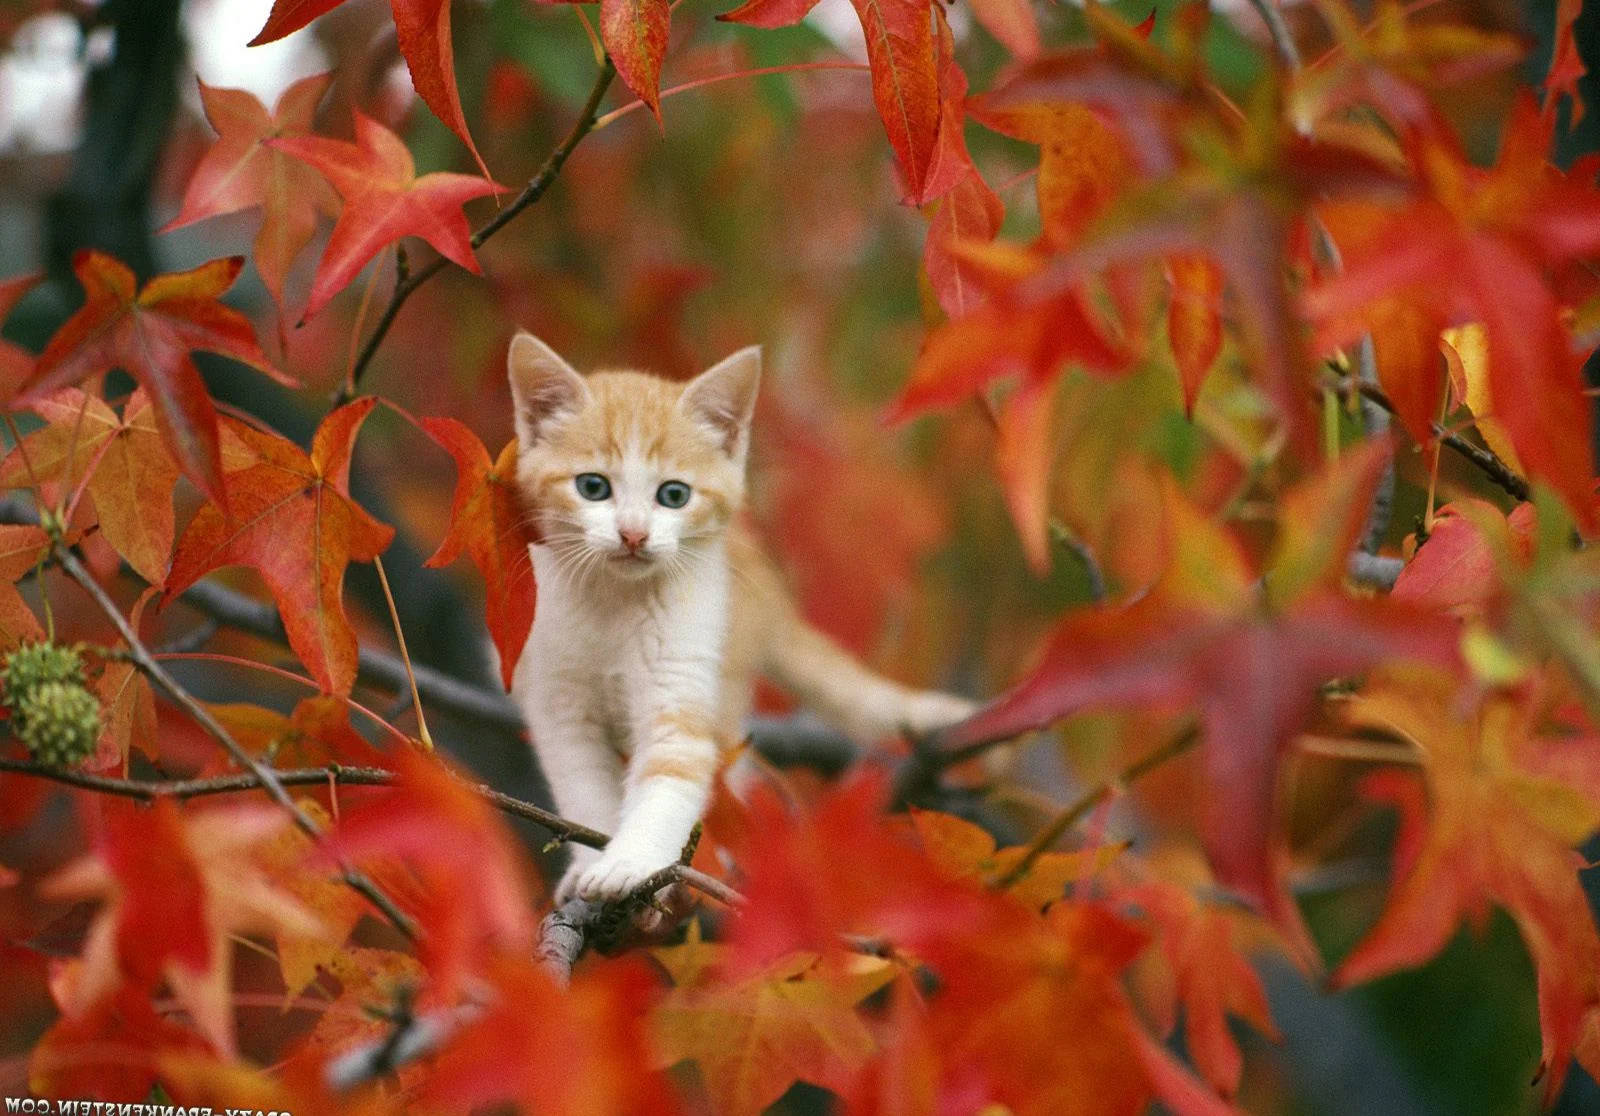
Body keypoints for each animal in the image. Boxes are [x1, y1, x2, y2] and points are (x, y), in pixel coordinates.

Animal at [505, 326, 972, 901]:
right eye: (593, 487)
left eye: (673, 495)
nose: (634, 535)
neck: (616, 600)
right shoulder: (560, 701)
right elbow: (583, 789)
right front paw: (590, 863)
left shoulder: (683, 672)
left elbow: (674, 775)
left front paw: (632, 863)